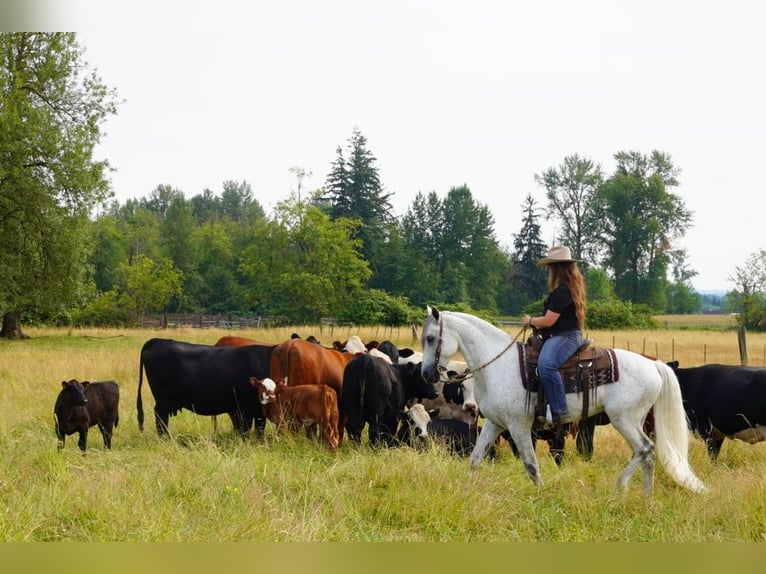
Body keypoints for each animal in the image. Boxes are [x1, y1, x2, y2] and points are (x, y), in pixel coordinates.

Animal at [138, 338, 276, 436]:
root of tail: (155, 341)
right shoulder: (245, 405)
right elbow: (246, 428)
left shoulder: (258, 409)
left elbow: (259, 428)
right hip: (162, 398)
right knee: (160, 416)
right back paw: (165, 438)